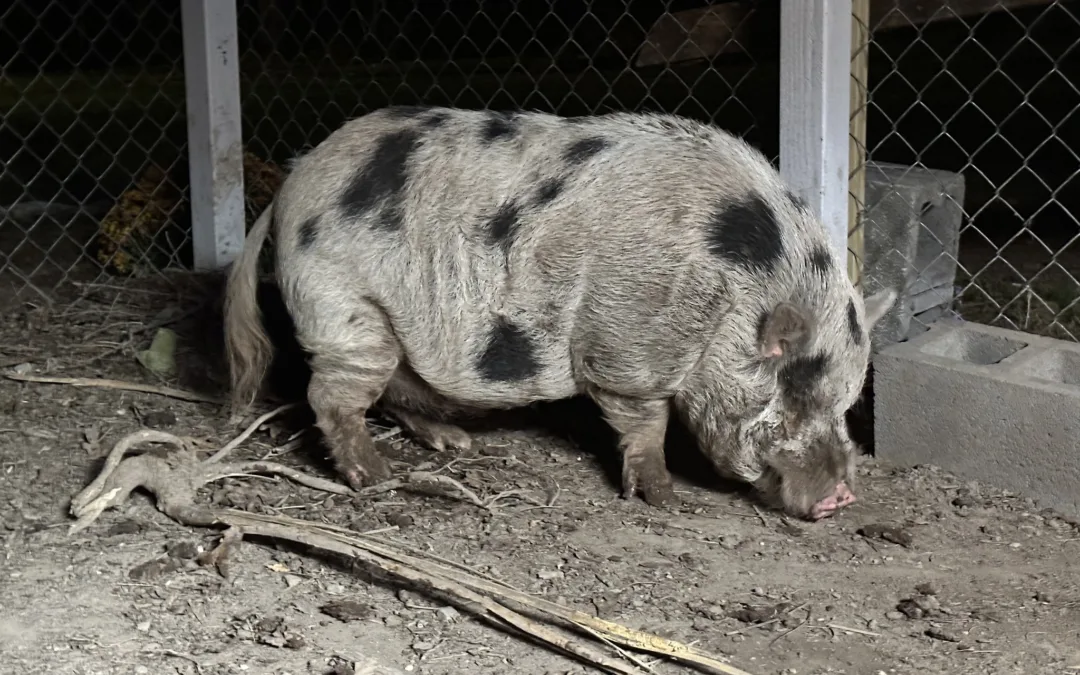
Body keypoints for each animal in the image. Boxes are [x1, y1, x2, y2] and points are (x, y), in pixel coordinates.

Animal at [224, 105, 896, 520]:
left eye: (846, 402)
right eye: (793, 391)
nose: (841, 498)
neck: (727, 301)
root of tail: (287, 189)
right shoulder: (627, 350)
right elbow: (645, 422)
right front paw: (665, 498)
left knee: (395, 386)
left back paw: (455, 442)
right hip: (344, 304)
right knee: (331, 394)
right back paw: (375, 475)